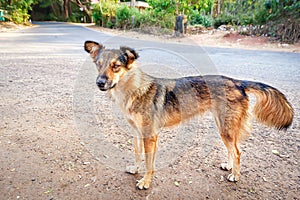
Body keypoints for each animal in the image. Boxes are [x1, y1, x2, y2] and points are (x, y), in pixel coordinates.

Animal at [84, 40, 292, 189]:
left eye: (116, 66)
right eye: (98, 65)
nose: (100, 82)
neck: (134, 90)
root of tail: (237, 82)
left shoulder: (150, 136)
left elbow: (149, 164)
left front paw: (145, 182)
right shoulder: (136, 133)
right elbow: (137, 155)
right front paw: (135, 169)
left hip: (226, 128)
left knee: (238, 151)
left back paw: (235, 175)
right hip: (223, 127)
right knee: (232, 149)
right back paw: (229, 166)